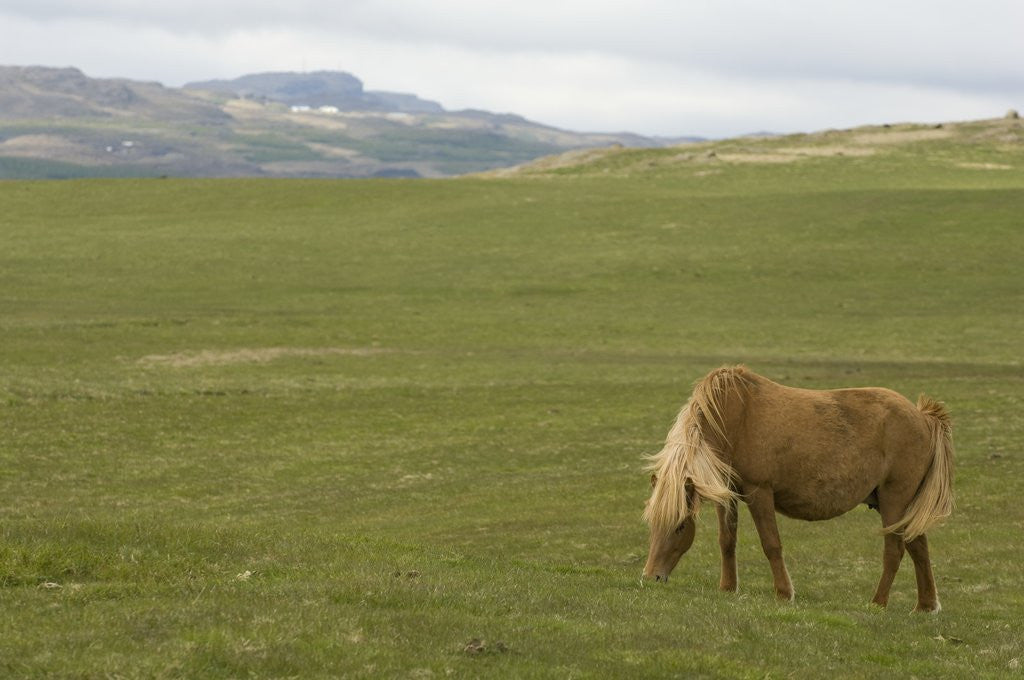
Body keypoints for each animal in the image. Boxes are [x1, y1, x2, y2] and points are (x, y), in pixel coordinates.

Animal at [642, 365, 954, 612]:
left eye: (681, 525)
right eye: (653, 524)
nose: (651, 577)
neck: (732, 420)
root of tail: (923, 418)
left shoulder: (759, 492)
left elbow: (771, 544)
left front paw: (784, 593)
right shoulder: (726, 493)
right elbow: (726, 541)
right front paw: (727, 588)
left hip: (894, 501)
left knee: (895, 550)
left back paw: (878, 602)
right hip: (902, 505)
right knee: (918, 547)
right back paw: (926, 606)